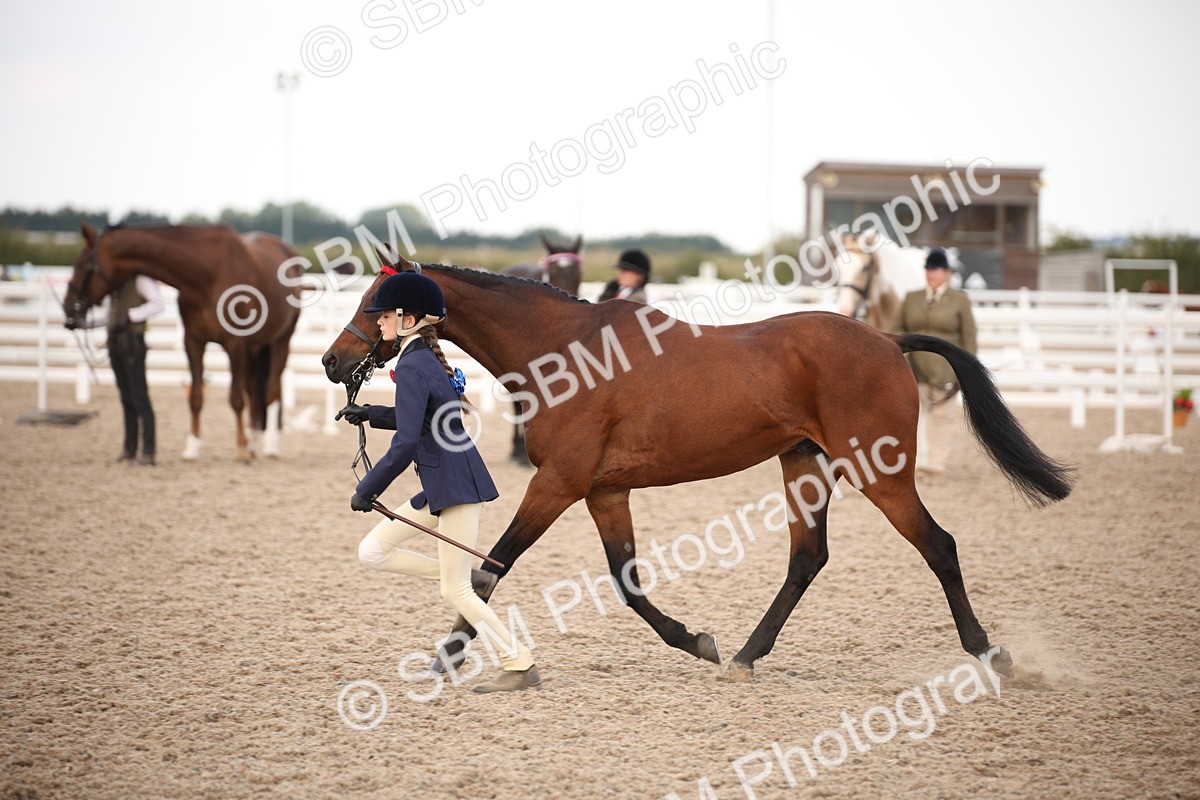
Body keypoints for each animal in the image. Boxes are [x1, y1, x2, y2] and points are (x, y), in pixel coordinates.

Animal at [63, 223, 303, 462]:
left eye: (81, 264)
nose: (68, 308)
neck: (209, 275)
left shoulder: (235, 345)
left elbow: (236, 399)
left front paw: (241, 451)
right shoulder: (193, 342)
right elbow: (196, 397)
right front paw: (192, 448)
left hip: (281, 340)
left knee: (270, 390)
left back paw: (270, 446)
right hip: (254, 348)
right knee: (253, 390)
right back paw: (253, 444)